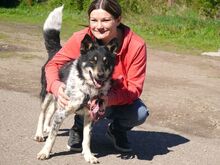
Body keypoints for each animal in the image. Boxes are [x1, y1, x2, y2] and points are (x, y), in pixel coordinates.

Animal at [33, 5, 117, 164]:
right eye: (93, 60)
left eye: (106, 62)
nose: (101, 75)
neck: (87, 88)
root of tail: (56, 50)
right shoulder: (62, 112)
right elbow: (52, 138)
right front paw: (45, 152)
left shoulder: (90, 115)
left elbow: (87, 139)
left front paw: (89, 155)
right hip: (47, 93)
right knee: (42, 113)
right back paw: (40, 133)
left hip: (57, 98)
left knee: (50, 111)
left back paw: (47, 127)